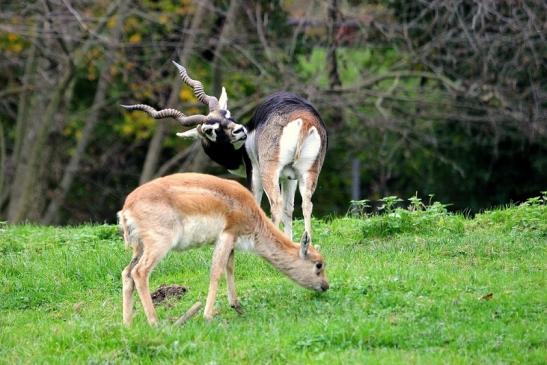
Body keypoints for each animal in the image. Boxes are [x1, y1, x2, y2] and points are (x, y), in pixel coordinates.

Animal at [117, 172, 328, 326]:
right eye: (318, 264)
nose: (326, 286)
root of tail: (126, 210)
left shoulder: (232, 241)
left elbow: (229, 268)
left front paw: (237, 306)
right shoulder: (227, 234)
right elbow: (216, 270)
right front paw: (208, 316)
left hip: (139, 247)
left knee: (126, 272)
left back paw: (128, 325)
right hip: (159, 243)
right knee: (140, 272)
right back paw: (155, 322)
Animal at [122, 61, 328, 240]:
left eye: (226, 114)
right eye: (209, 129)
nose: (239, 130)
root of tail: (302, 119)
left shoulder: (254, 170)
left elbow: (257, 203)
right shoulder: (289, 177)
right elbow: (289, 209)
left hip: (269, 171)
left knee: (275, 204)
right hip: (308, 172)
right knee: (306, 203)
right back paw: (306, 244)